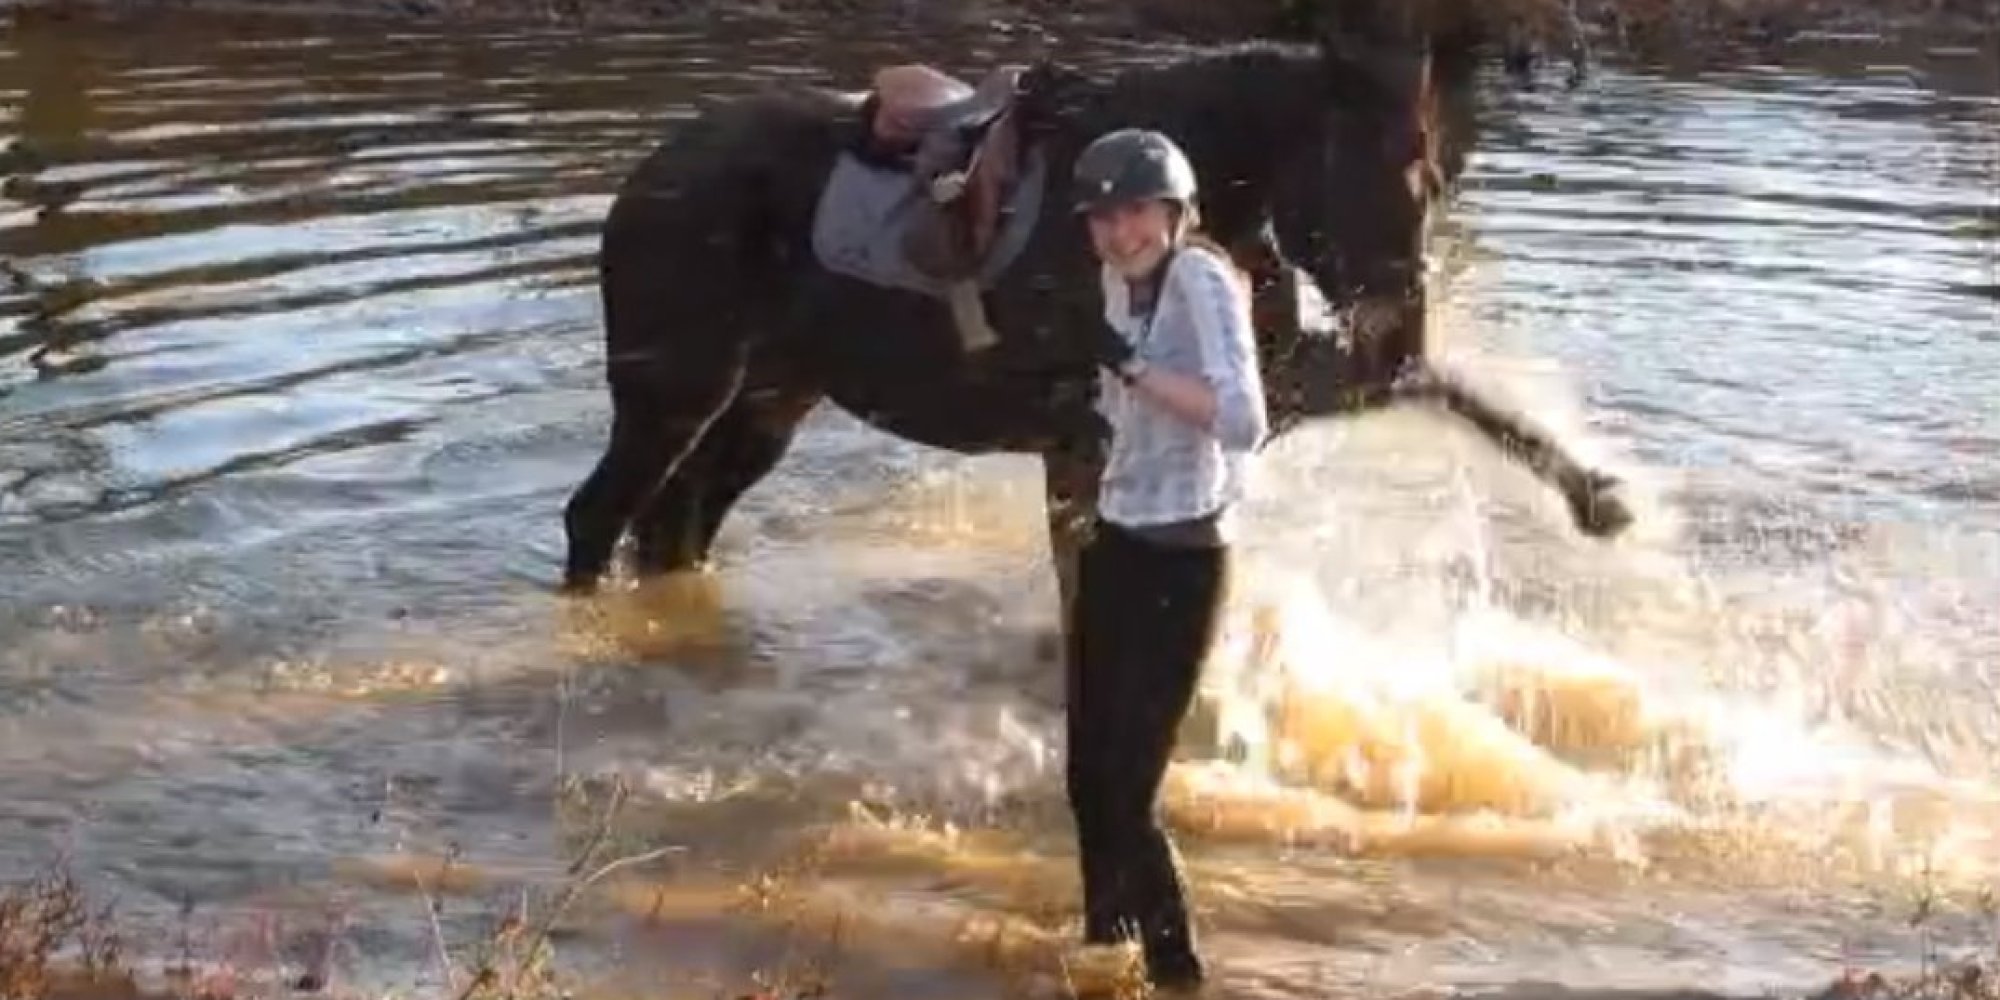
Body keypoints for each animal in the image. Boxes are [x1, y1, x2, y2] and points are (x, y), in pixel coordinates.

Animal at [557, 30, 1636, 642]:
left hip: (765, 407)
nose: (1397, 333)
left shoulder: (1267, 389)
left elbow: (1450, 393)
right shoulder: (1084, 441)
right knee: (596, 519)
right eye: (1368, 179)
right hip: (674, 399)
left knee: (674, 532)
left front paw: (1598, 497)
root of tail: (651, 171)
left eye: (1434, 183)